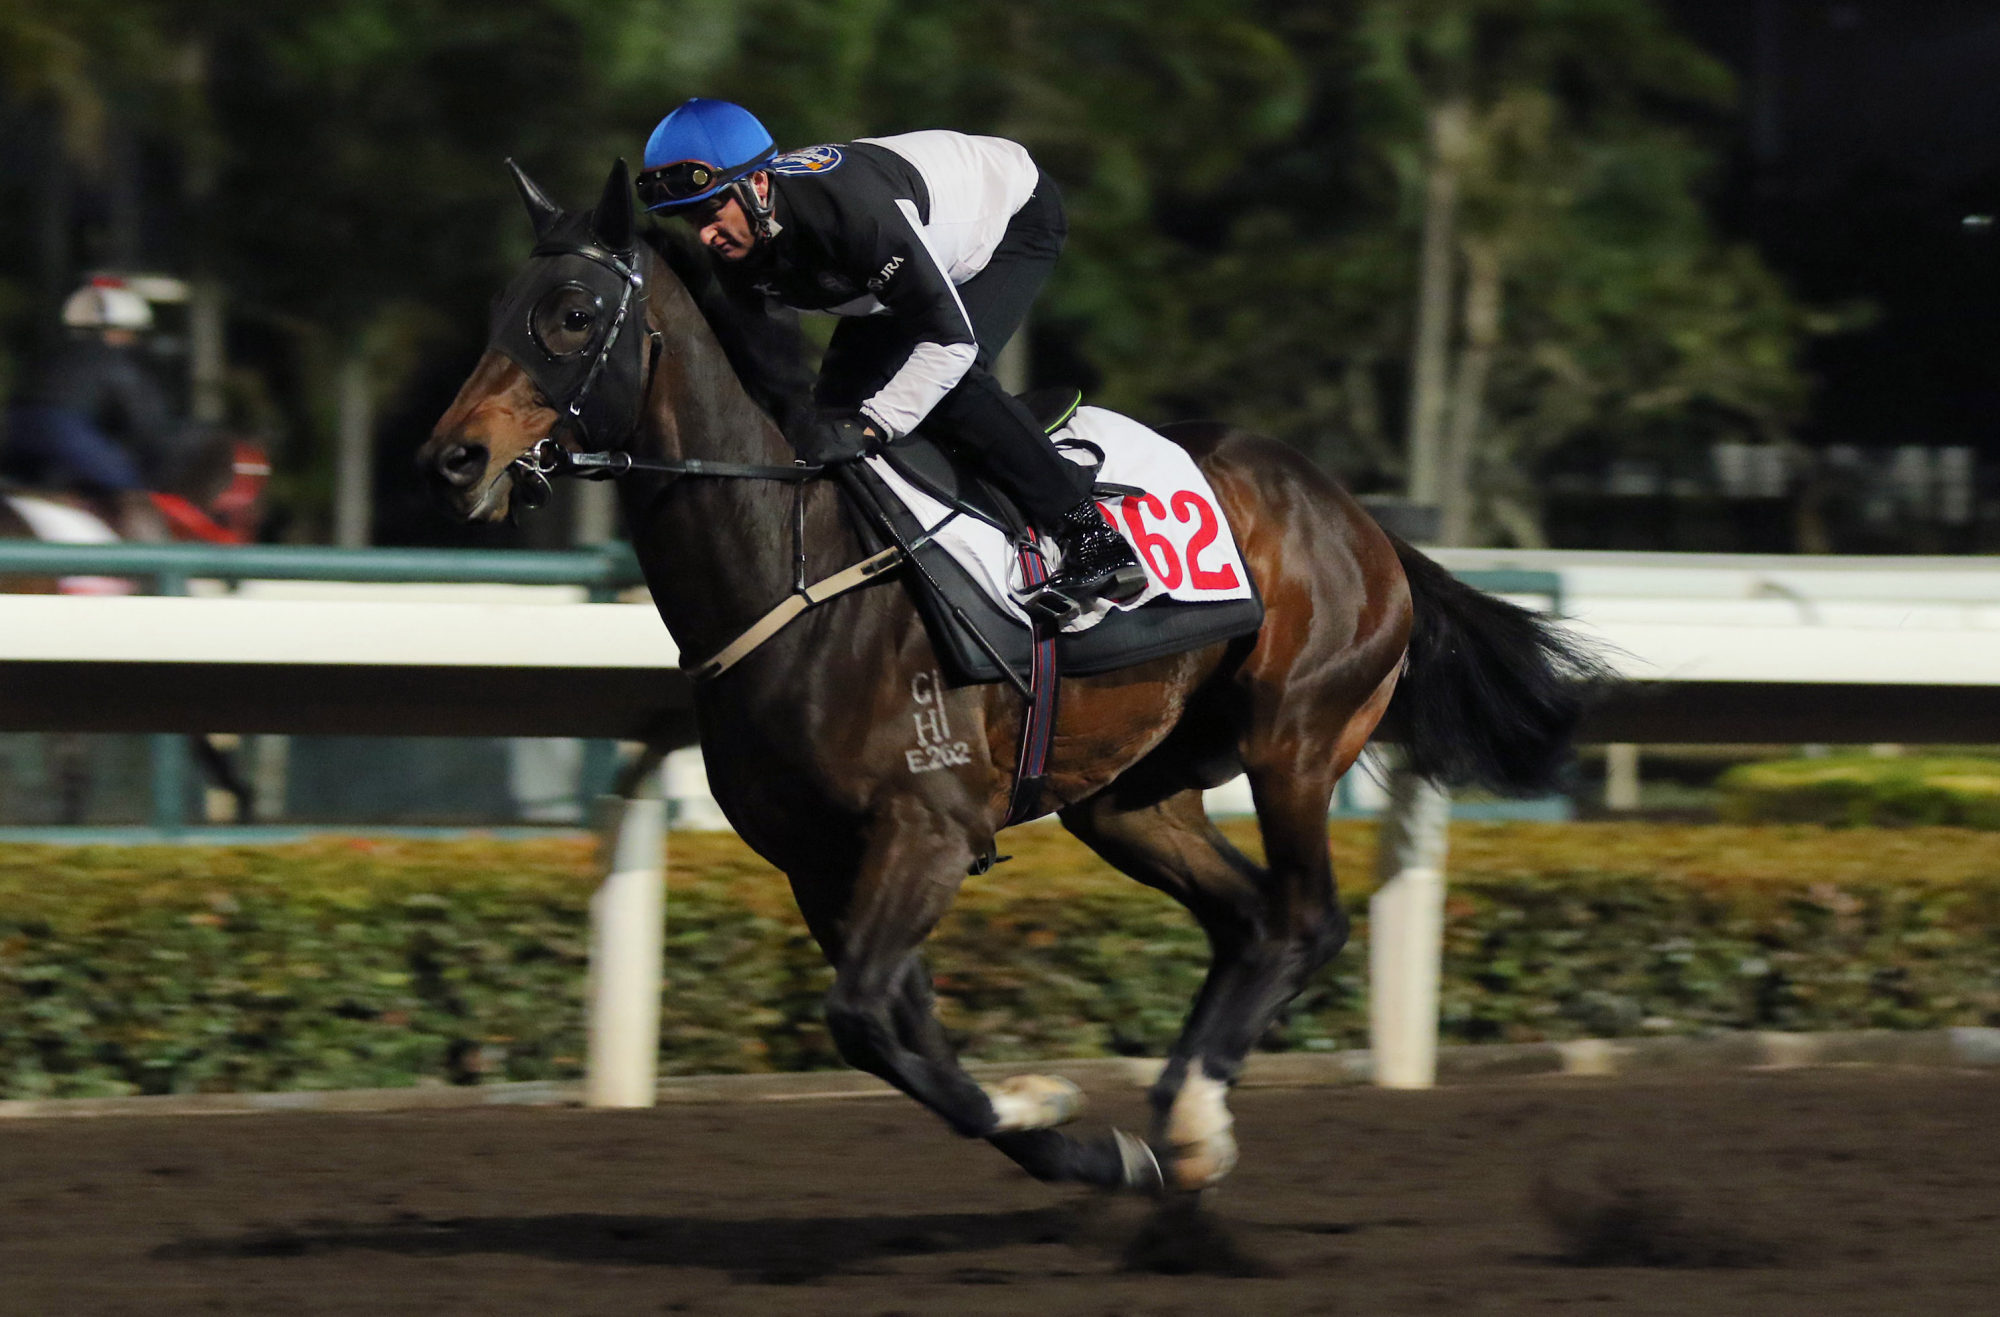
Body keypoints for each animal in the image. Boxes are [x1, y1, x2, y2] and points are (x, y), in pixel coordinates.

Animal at [422, 161, 1608, 1192]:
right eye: (500, 308)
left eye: (574, 313)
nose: (452, 460)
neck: (796, 562)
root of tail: (1360, 518)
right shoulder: (819, 860)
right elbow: (896, 1035)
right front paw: (1077, 1139)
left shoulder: (929, 828)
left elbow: (864, 1019)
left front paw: (1052, 1105)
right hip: (1131, 797)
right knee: (1246, 919)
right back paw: (1182, 1120)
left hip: (1297, 736)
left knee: (1305, 918)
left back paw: (1193, 1113)